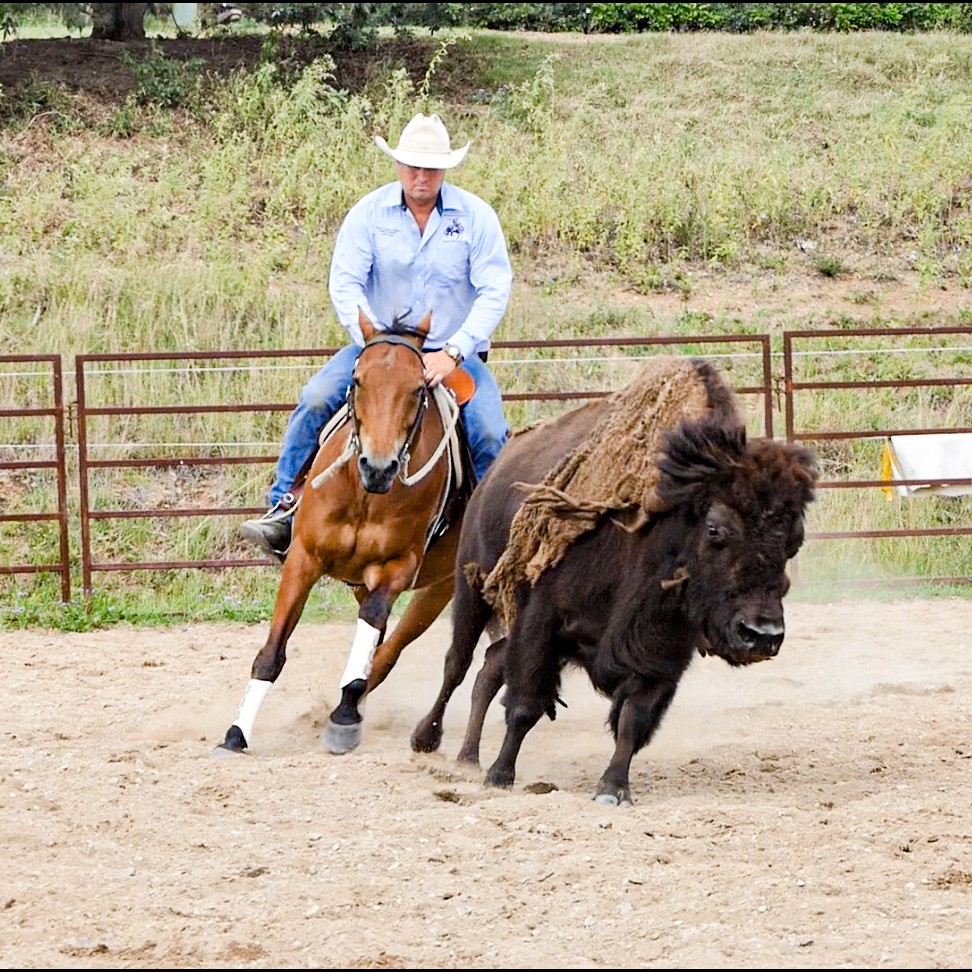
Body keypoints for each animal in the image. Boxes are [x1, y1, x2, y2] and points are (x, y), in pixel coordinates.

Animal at [216, 310, 474, 756]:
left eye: (417, 388)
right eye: (357, 381)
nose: (379, 466)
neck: (364, 493)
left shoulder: (396, 567)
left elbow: (372, 626)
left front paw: (345, 716)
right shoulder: (303, 558)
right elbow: (271, 653)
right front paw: (237, 733)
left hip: (440, 589)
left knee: (390, 650)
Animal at [410, 357, 817, 805]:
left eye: (794, 541)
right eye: (715, 529)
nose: (762, 634)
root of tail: (495, 470)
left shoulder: (661, 652)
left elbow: (633, 721)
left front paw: (613, 788)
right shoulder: (542, 621)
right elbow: (525, 706)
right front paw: (500, 776)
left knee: (489, 668)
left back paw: (468, 757)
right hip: (472, 592)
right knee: (458, 664)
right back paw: (429, 741)